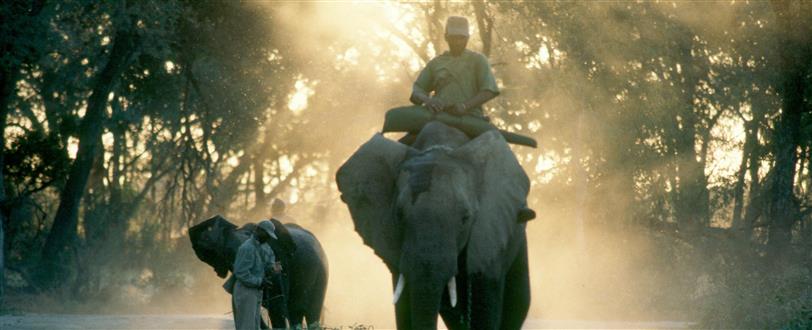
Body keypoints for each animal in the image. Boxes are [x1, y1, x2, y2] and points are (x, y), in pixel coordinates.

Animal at [189, 215, 328, 328]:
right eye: (227, 255)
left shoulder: (281, 261)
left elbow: (277, 306)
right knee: (295, 313)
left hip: (322, 273)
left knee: (311, 312)